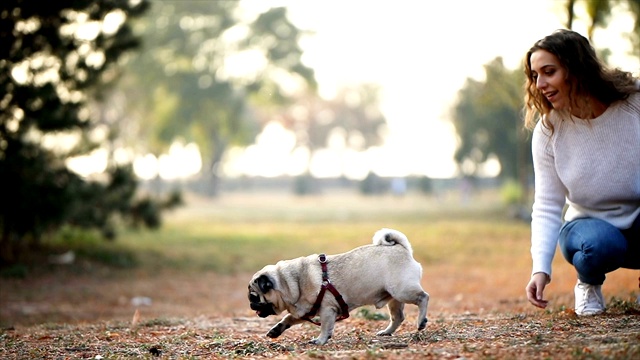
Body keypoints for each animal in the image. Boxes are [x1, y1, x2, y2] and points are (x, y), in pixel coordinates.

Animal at [248, 229, 428, 344]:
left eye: (254, 296)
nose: (251, 304)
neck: (292, 281)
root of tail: (401, 248)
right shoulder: (305, 311)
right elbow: (288, 318)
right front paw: (276, 330)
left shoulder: (327, 310)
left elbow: (324, 327)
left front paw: (320, 340)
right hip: (394, 297)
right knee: (398, 317)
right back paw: (386, 332)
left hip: (402, 290)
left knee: (423, 297)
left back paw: (421, 321)